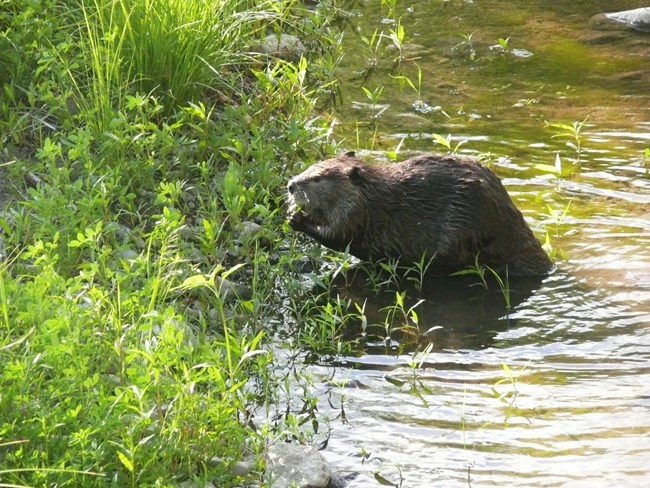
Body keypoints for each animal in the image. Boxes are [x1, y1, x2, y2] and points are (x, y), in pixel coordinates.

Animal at [284, 152, 552, 276]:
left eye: (318, 178)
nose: (291, 185)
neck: (375, 194)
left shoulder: (357, 212)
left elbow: (339, 236)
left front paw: (297, 219)